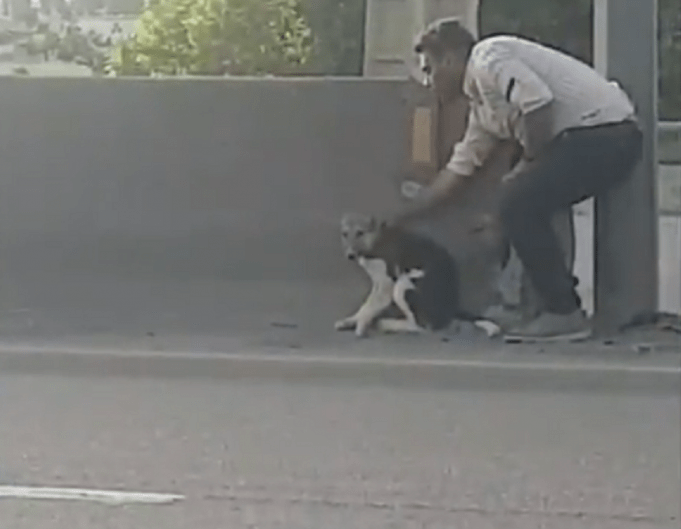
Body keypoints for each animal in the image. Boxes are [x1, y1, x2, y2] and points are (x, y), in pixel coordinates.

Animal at [334, 212, 500, 336]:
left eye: (360, 233)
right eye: (344, 234)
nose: (350, 255)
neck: (375, 241)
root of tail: (451, 309)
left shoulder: (387, 283)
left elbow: (370, 306)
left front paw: (360, 324)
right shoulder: (378, 281)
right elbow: (366, 304)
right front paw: (351, 320)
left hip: (402, 286)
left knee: (419, 325)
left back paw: (389, 324)